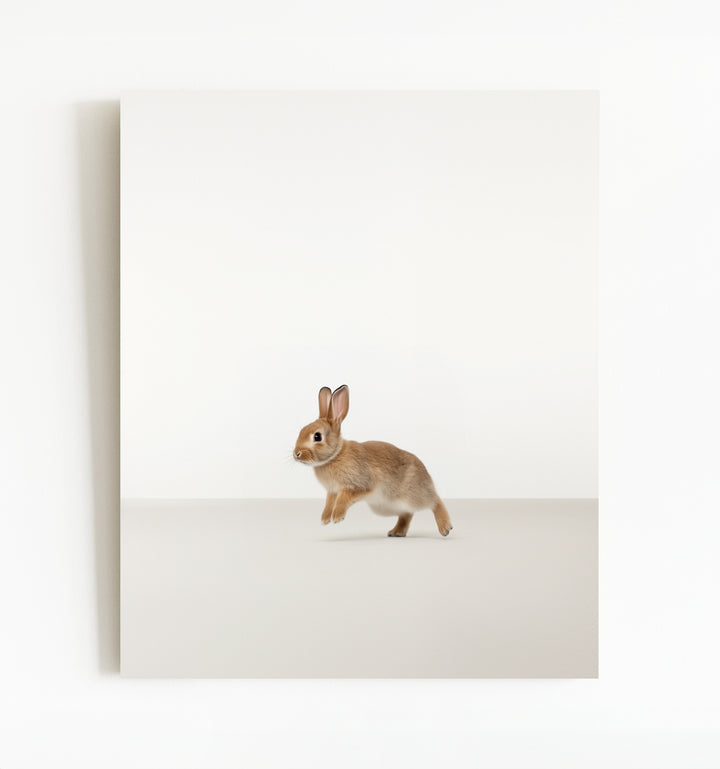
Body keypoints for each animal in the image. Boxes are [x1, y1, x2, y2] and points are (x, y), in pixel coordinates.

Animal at [293, 385, 453, 537]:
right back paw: (397, 532)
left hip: (413, 496)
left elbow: (343, 499)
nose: (296, 454)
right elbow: (328, 503)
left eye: (317, 436)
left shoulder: (358, 485)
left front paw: (337, 517)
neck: (335, 455)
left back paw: (445, 527)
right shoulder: (332, 491)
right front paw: (325, 519)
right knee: (407, 513)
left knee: (434, 501)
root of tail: (426, 474)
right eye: (301, 431)